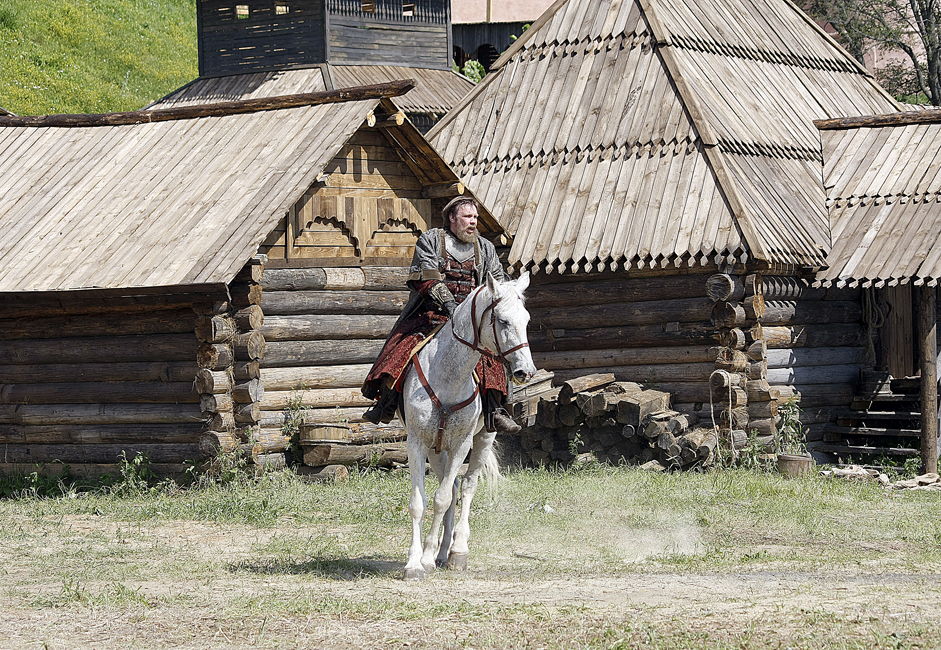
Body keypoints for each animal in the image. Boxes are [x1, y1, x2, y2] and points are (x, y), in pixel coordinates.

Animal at [398, 268, 536, 576]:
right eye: (503, 320)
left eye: (526, 320)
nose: (526, 371)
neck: (449, 375)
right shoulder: (417, 442)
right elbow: (419, 502)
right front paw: (415, 562)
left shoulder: (462, 444)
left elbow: (442, 499)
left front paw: (427, 557)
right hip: (438, 449)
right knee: (454, 487)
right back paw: (443, 551)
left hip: (482, 439)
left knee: (467, 487)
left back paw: (457, 550)